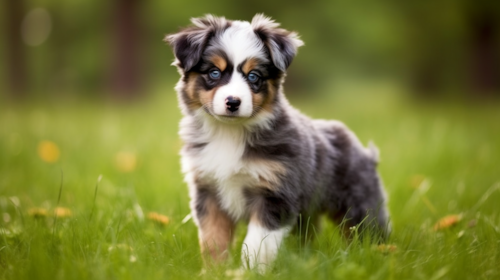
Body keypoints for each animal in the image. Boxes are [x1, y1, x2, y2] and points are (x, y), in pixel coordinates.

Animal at [166, 14, 388, 272]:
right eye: (214, 73)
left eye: (254, 76)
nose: (233, 102)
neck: (229, 133)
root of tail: (364, 151)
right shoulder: (208, 191)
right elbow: (213, 240)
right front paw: (214, 272)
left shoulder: (275, 195)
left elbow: (255, 244)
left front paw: (247, 273)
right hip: (307, 214)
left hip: (360, 206)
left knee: (369, 233)